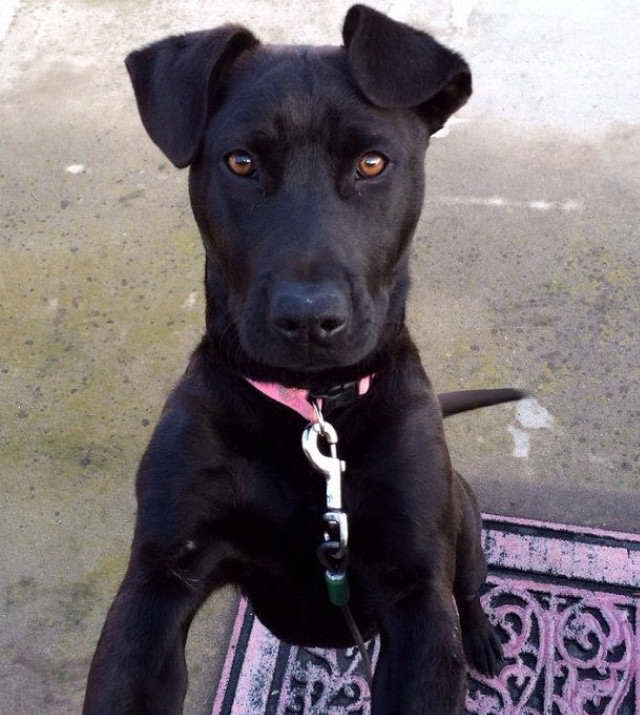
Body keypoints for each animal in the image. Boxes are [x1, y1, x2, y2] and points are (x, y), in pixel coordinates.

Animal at [84, 7, 520, 715]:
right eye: (240, 162)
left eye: (372, 162)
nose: (310, 320)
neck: (310, 407)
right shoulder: (159, 577)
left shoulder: (416, 593)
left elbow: (438, 609)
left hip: (467, 526)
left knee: (469, 589)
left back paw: (481, 634)